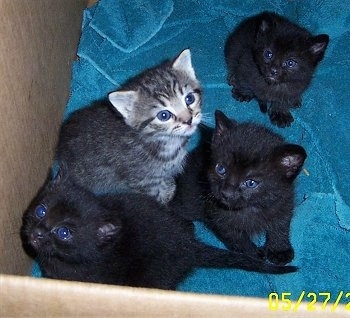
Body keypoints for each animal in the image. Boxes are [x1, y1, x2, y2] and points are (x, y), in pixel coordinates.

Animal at [56, 49, 201, 204]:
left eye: (189, 99)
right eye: (164, 115)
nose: (189, 120)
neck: (166, 141)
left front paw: (168, 187)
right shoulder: (142, 181)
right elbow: (154, 195)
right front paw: (163, 200)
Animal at [172, 110, 306, 264]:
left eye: (251, 183)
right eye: (221, 169)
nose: (226, 193)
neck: (252, 207)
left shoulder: (284, 202)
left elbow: (281, 226)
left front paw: (280, 250)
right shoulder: (219, 217)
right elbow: (237, 239)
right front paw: (252, 254)